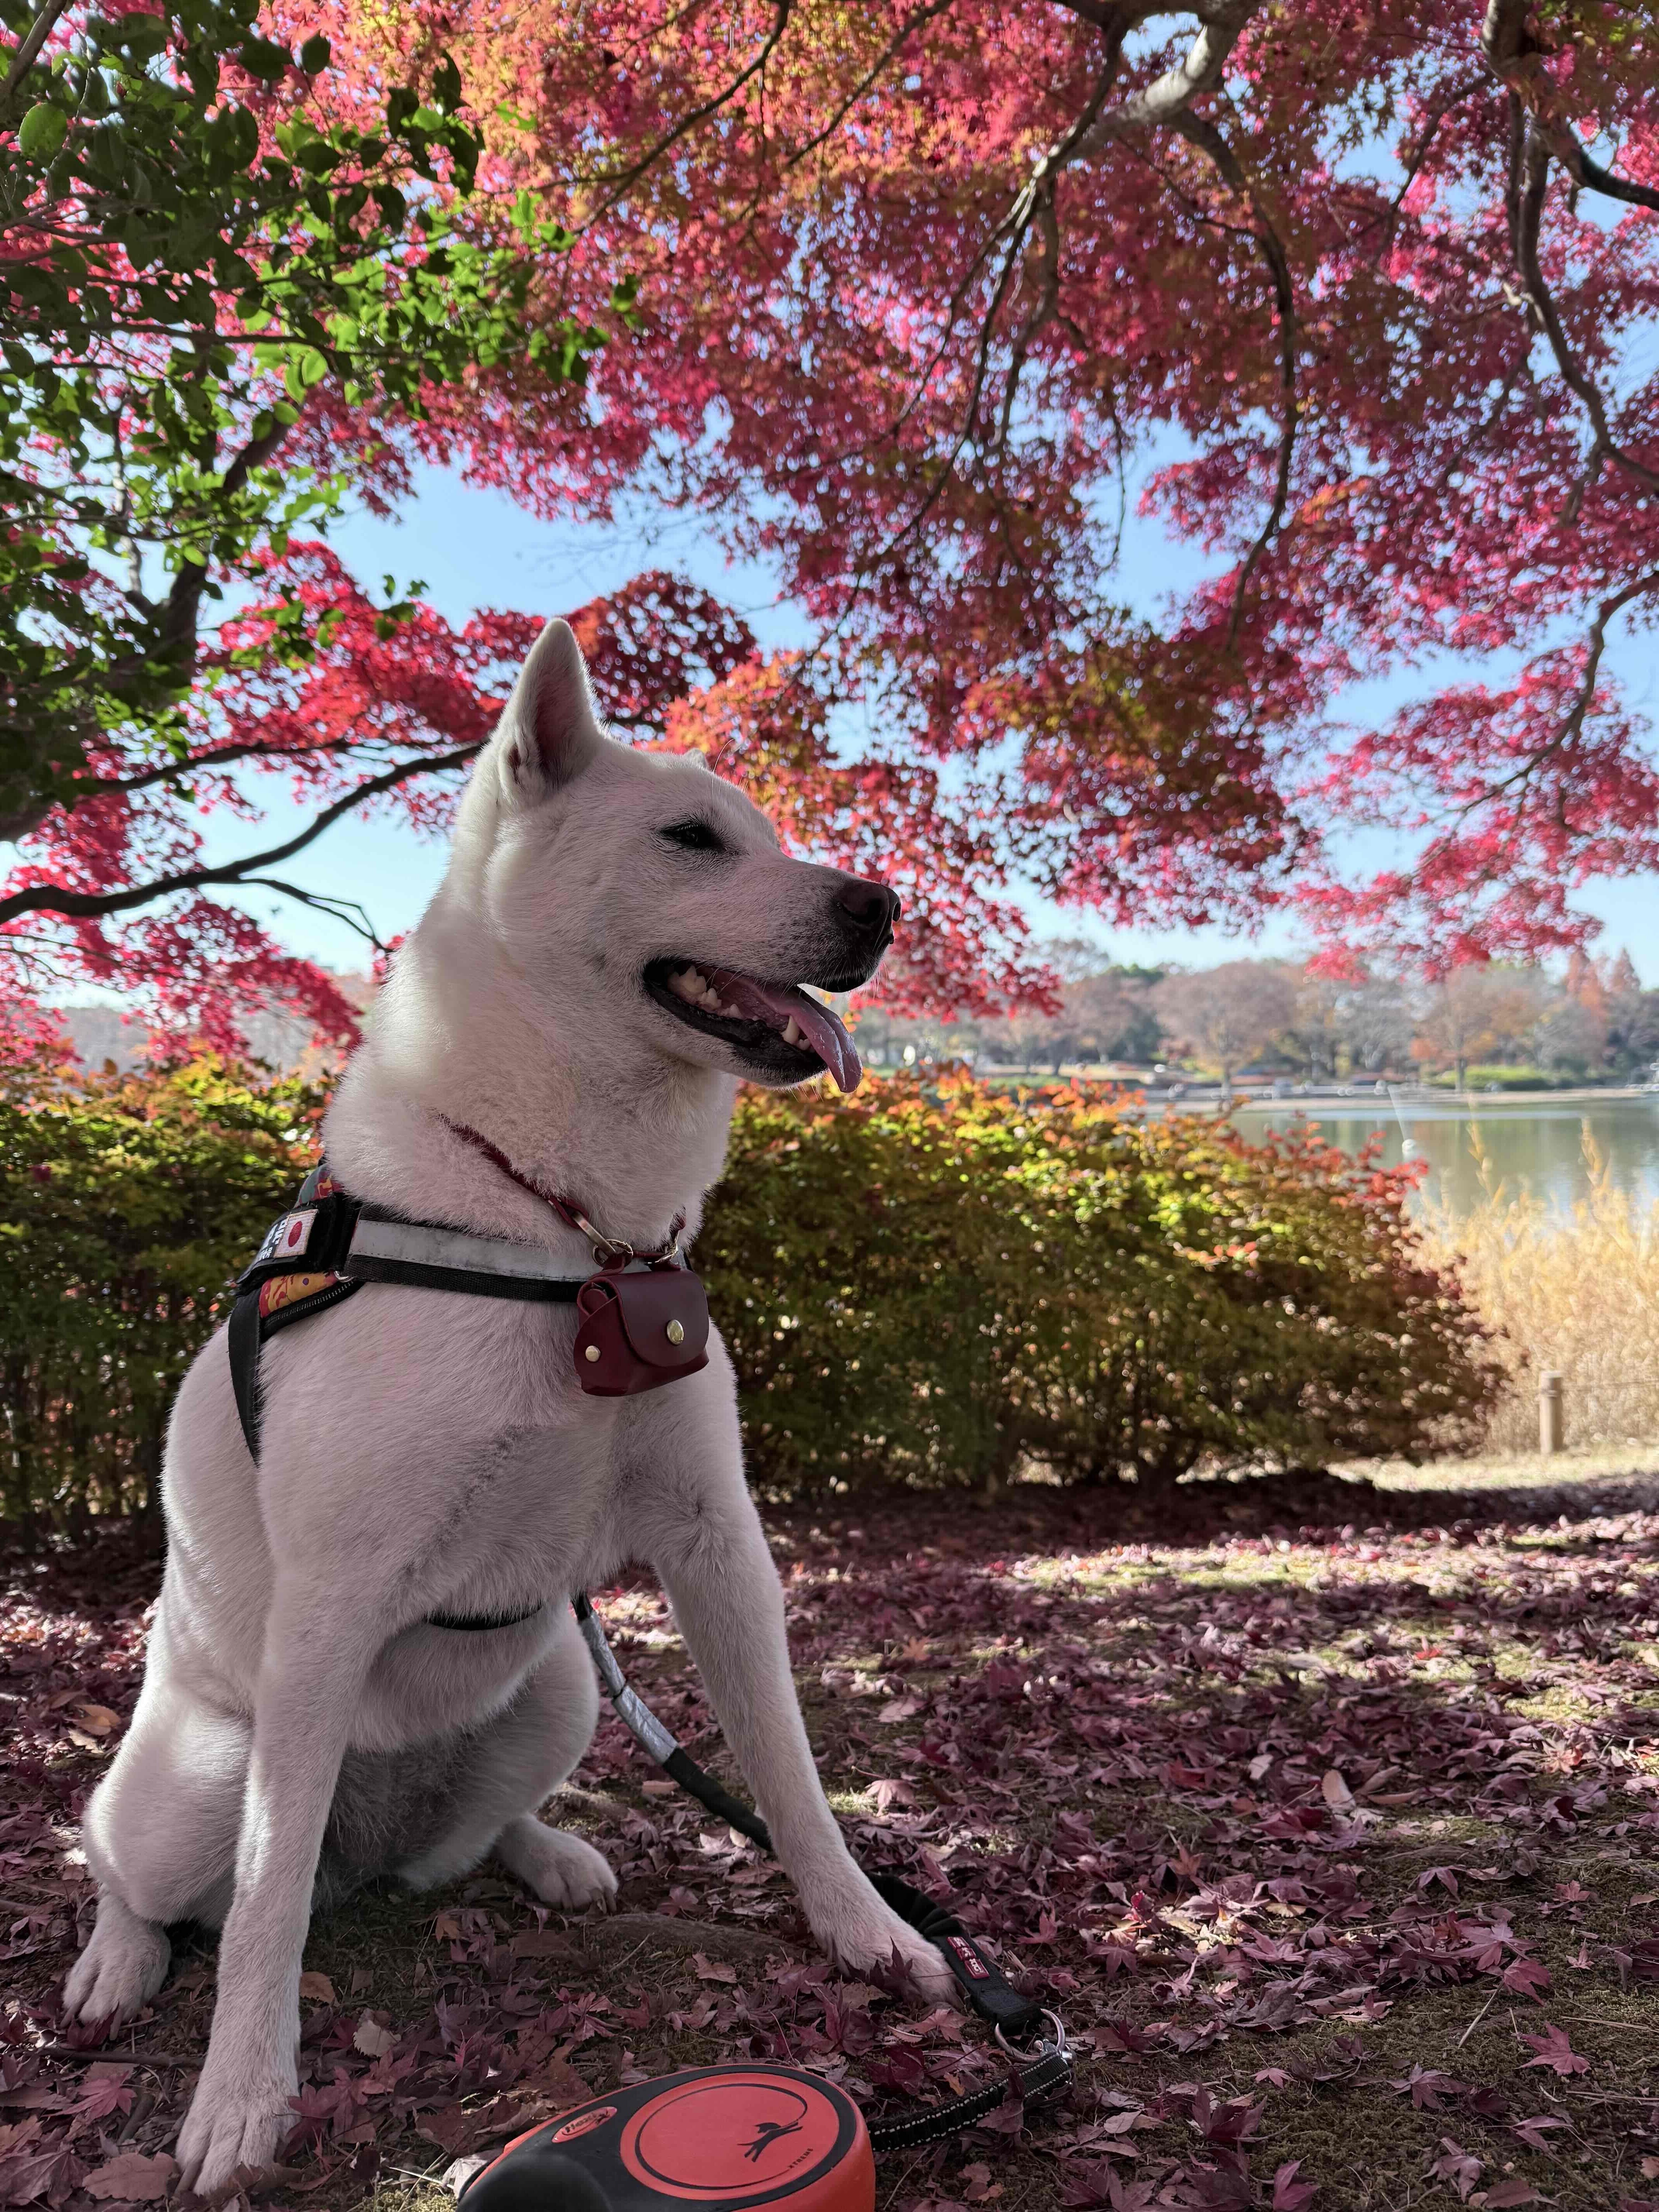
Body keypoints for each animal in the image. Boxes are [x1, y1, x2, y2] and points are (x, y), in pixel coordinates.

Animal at [65, 619, 955, 2198]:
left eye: (767, 835)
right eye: (690, 838)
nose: (881, 905)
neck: (568, 1235)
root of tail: (377, 1833)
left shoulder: (719, 1544)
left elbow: (789, 1773)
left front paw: (869, 1930)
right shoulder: (332, 1596)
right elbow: (266, 1902)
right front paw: (242, 2100)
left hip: (555, 1691)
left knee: (467, 1835)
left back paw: (546, 1855)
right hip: (200, 1769)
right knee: (143, 1868)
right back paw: (115, 1960)